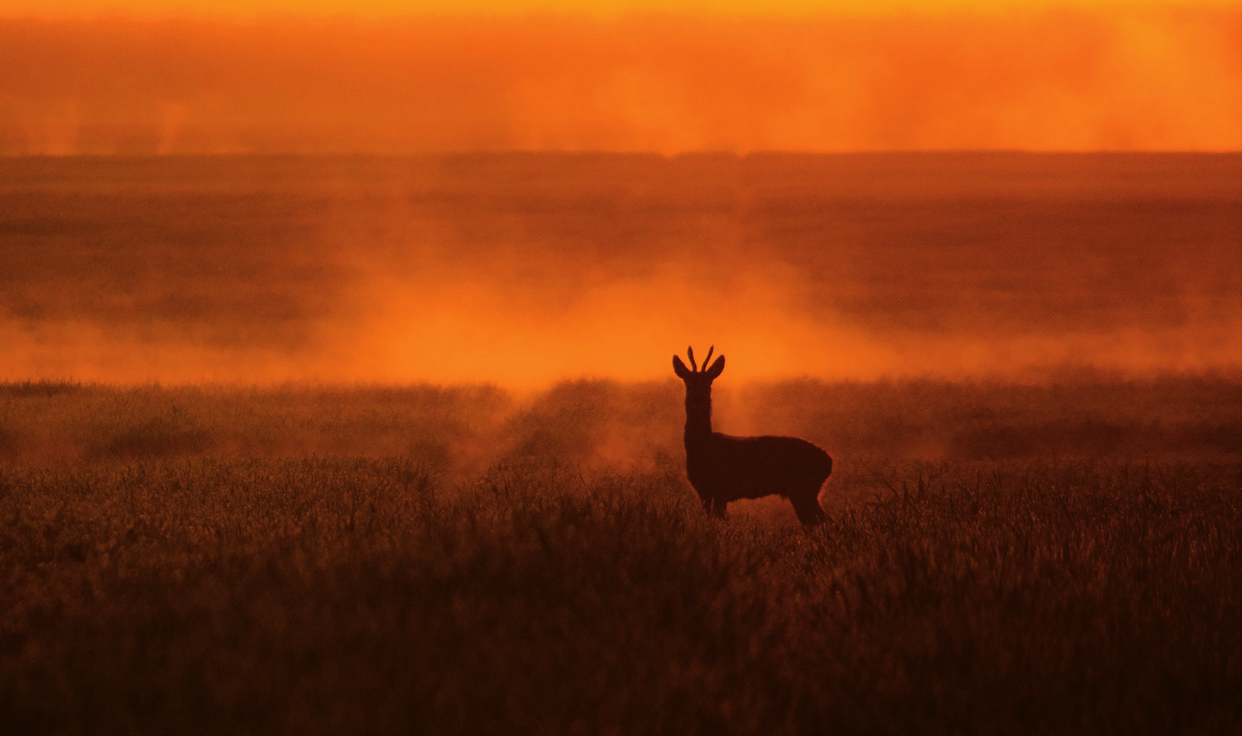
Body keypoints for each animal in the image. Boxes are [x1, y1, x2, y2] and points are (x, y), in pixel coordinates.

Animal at [675, 345, 829, 521]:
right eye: (688, 383)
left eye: (708, 384)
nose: (697, 401)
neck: (704, 446)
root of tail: (829, 462)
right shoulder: (704, 491)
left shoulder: (721, 490)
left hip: (803, 489)